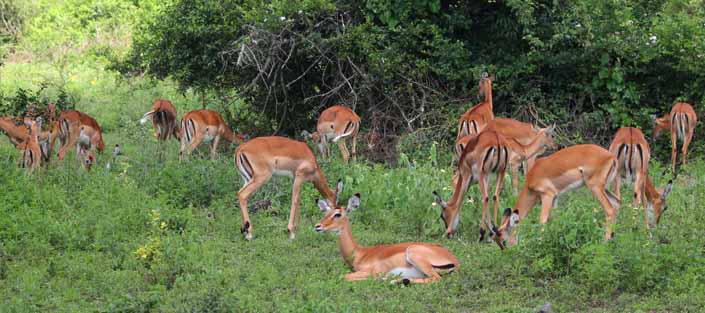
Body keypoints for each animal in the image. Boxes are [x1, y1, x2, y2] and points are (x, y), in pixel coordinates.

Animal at [314, 193, 460, 282]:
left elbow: (344, 276)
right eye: (325, 213)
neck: (359, 253)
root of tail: (455, 260)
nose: (317, 226)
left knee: (436, 279)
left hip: (414, 255)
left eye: (337, 214)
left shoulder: (371, 271)